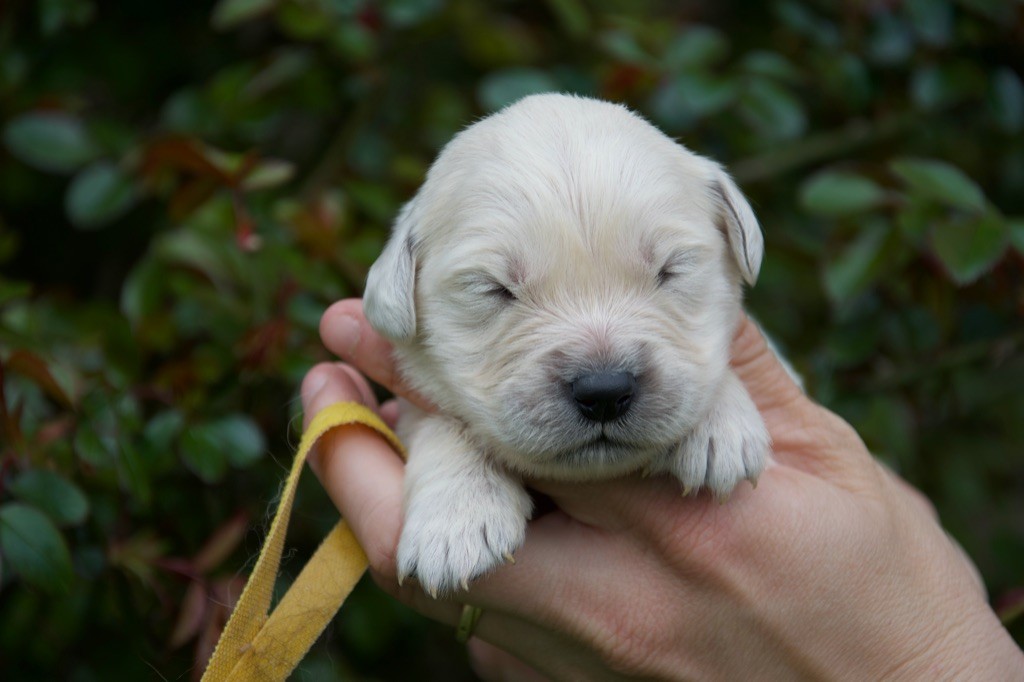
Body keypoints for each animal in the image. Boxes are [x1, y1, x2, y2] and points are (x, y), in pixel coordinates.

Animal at [360, 93, 770, 593]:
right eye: (493, 289)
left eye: (672, 269)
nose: (605, 392)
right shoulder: (412, 396)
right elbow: (439, 421)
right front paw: (457, 519)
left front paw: (722, 428)